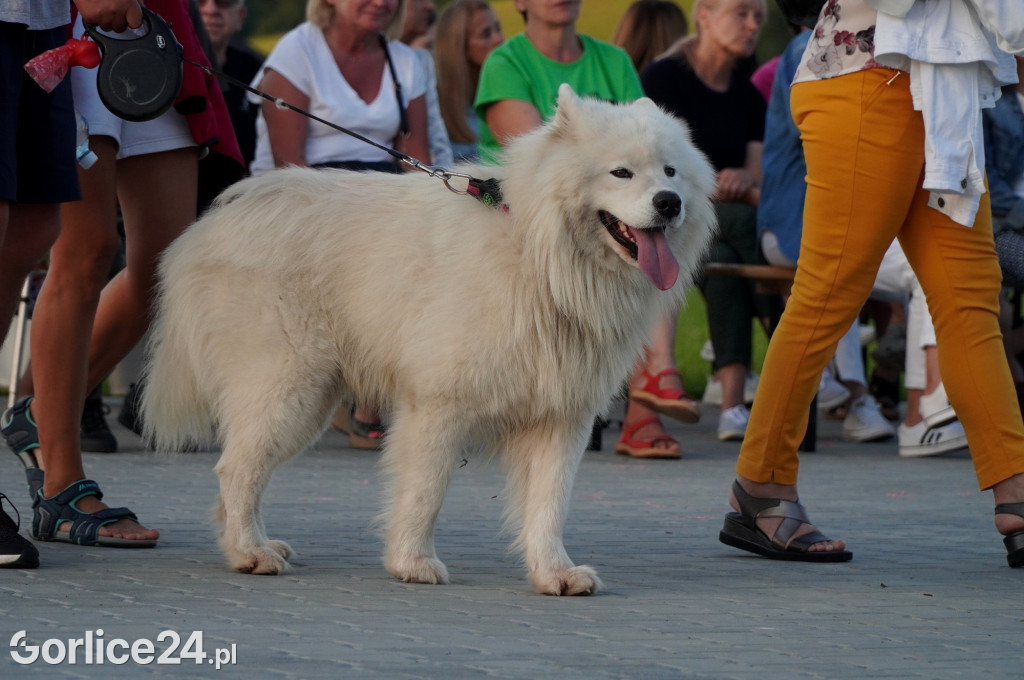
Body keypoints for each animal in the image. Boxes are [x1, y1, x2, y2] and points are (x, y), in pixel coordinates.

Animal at [144, 85, 716, 593]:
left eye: (670, 171)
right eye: (621, 172)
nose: (669, 203)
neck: (537, 254)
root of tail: (212, 222)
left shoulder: (561, 414)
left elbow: (549, 505)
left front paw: (554, 573)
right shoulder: (439, 403)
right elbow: (425, 491)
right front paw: (412, 563)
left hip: (307, 400)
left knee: (245, 472)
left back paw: (255, 545)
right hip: (288, 389)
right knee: (235, 469)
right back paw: (249, 553)